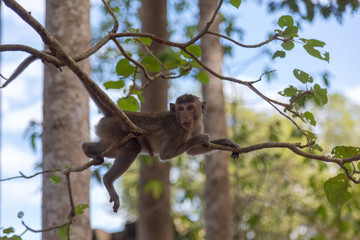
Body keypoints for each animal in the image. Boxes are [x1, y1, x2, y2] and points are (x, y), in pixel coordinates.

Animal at [2, 54, 240, 214]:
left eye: (190, 107)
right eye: (181, 108)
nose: (185, 115)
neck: (186, 126)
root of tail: (117, 113)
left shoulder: (195, 124)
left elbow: (192, 152)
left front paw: (226, 142)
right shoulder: (177, 131)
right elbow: (166, 155)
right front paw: (201, 139)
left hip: (107, 131)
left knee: (113, 148)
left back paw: (89, 150)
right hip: (115, 126)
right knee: (133, 146)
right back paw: (108, 179)